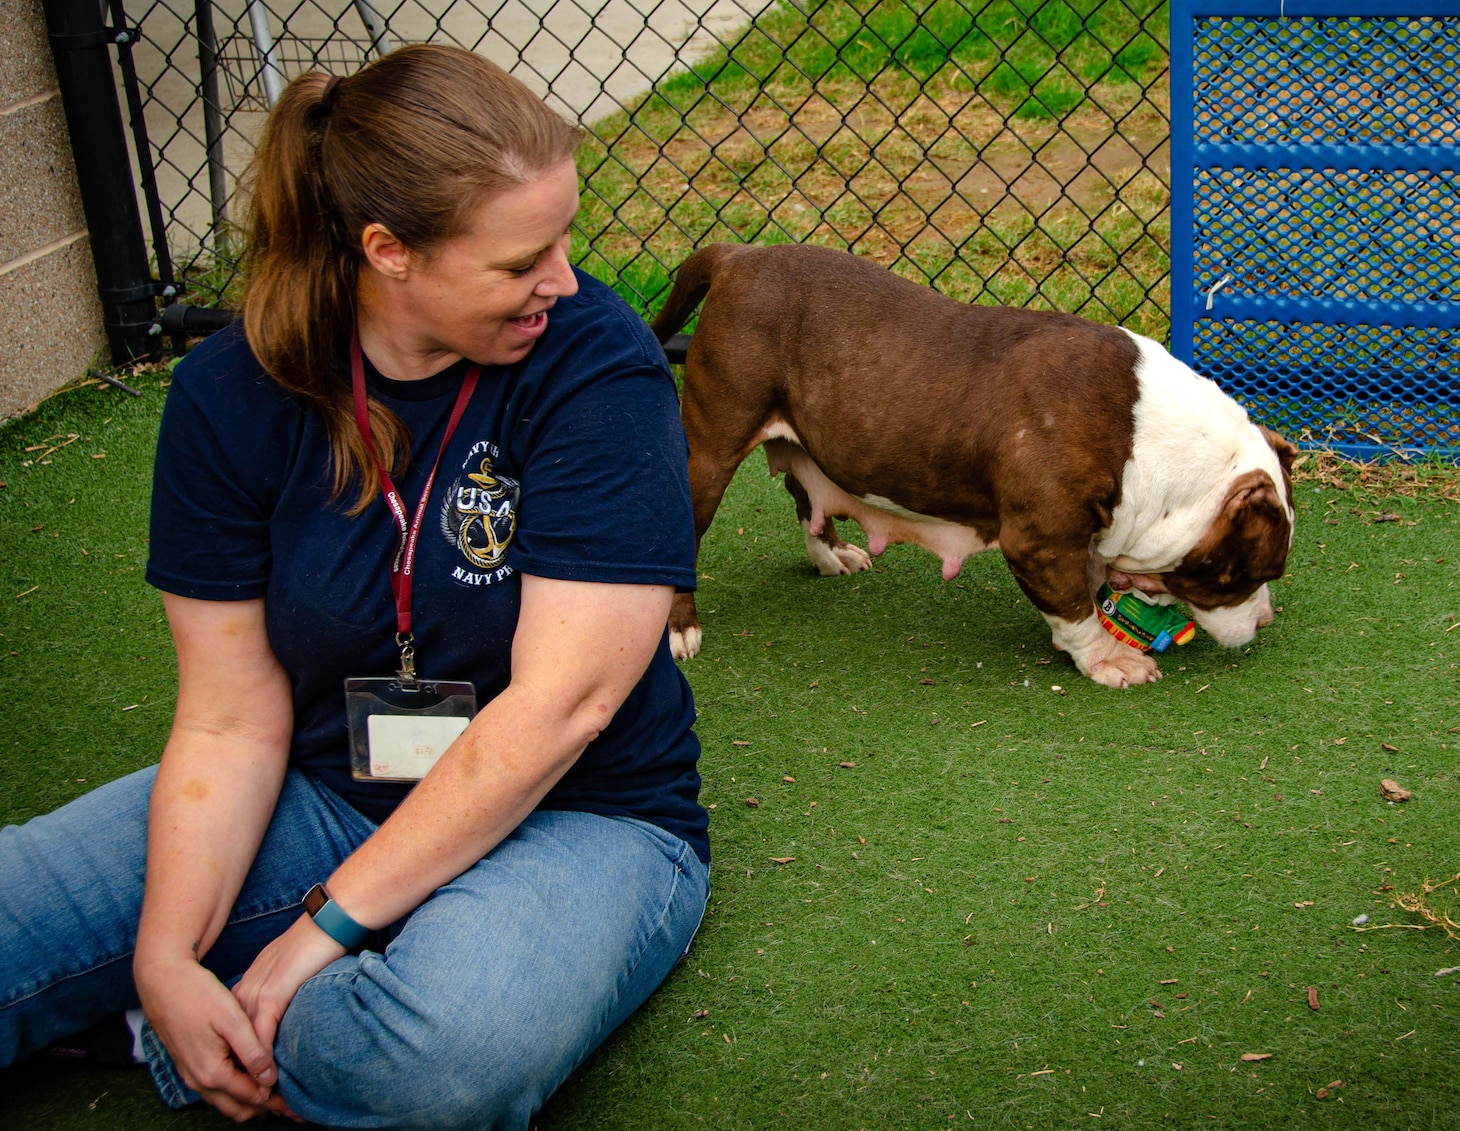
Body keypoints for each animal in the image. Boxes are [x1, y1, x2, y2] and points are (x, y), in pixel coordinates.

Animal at [657, 245, 1296, 688]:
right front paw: (1108, 659)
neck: (1151, 442)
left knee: (804, 490)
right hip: (710, 451)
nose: (1267, 622)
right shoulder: (1039, 542)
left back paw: (830, 554)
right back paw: (681, 629)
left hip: (805, 436)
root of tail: (739, 256)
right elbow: (1074, 607)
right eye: (1249, 576)